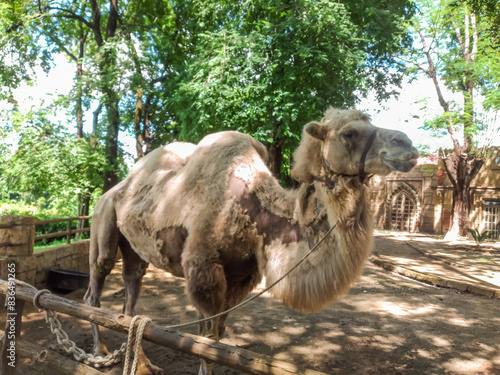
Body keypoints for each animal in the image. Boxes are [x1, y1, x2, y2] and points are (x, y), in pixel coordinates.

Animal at [85, 107, 418, 374]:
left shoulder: (241, 277)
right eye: (349, 133)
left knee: (131, 290)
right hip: (102, 220)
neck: (257, 215)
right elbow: (206, 339)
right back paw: (99, 352)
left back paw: (142, 363)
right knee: (96, 284)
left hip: (135, 246)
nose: (408, 145)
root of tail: (115, 189)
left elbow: (218, 333)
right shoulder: (204, 268)